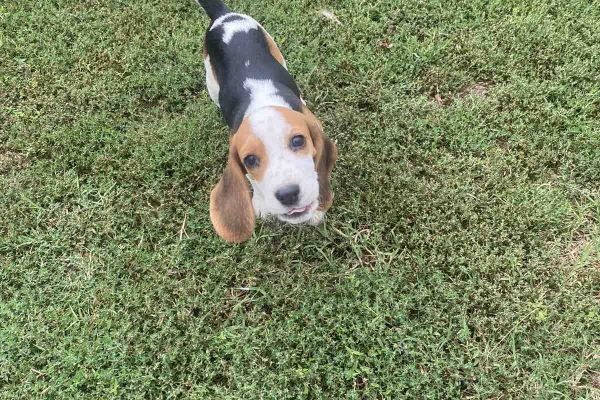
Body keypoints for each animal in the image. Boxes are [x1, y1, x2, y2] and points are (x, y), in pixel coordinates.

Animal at [197, 0, 338, 242]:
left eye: (298, 140)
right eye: (250, 160)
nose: (288, 194)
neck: (262, 102)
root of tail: (224, 16)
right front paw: (261, 203)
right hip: (211, 81)